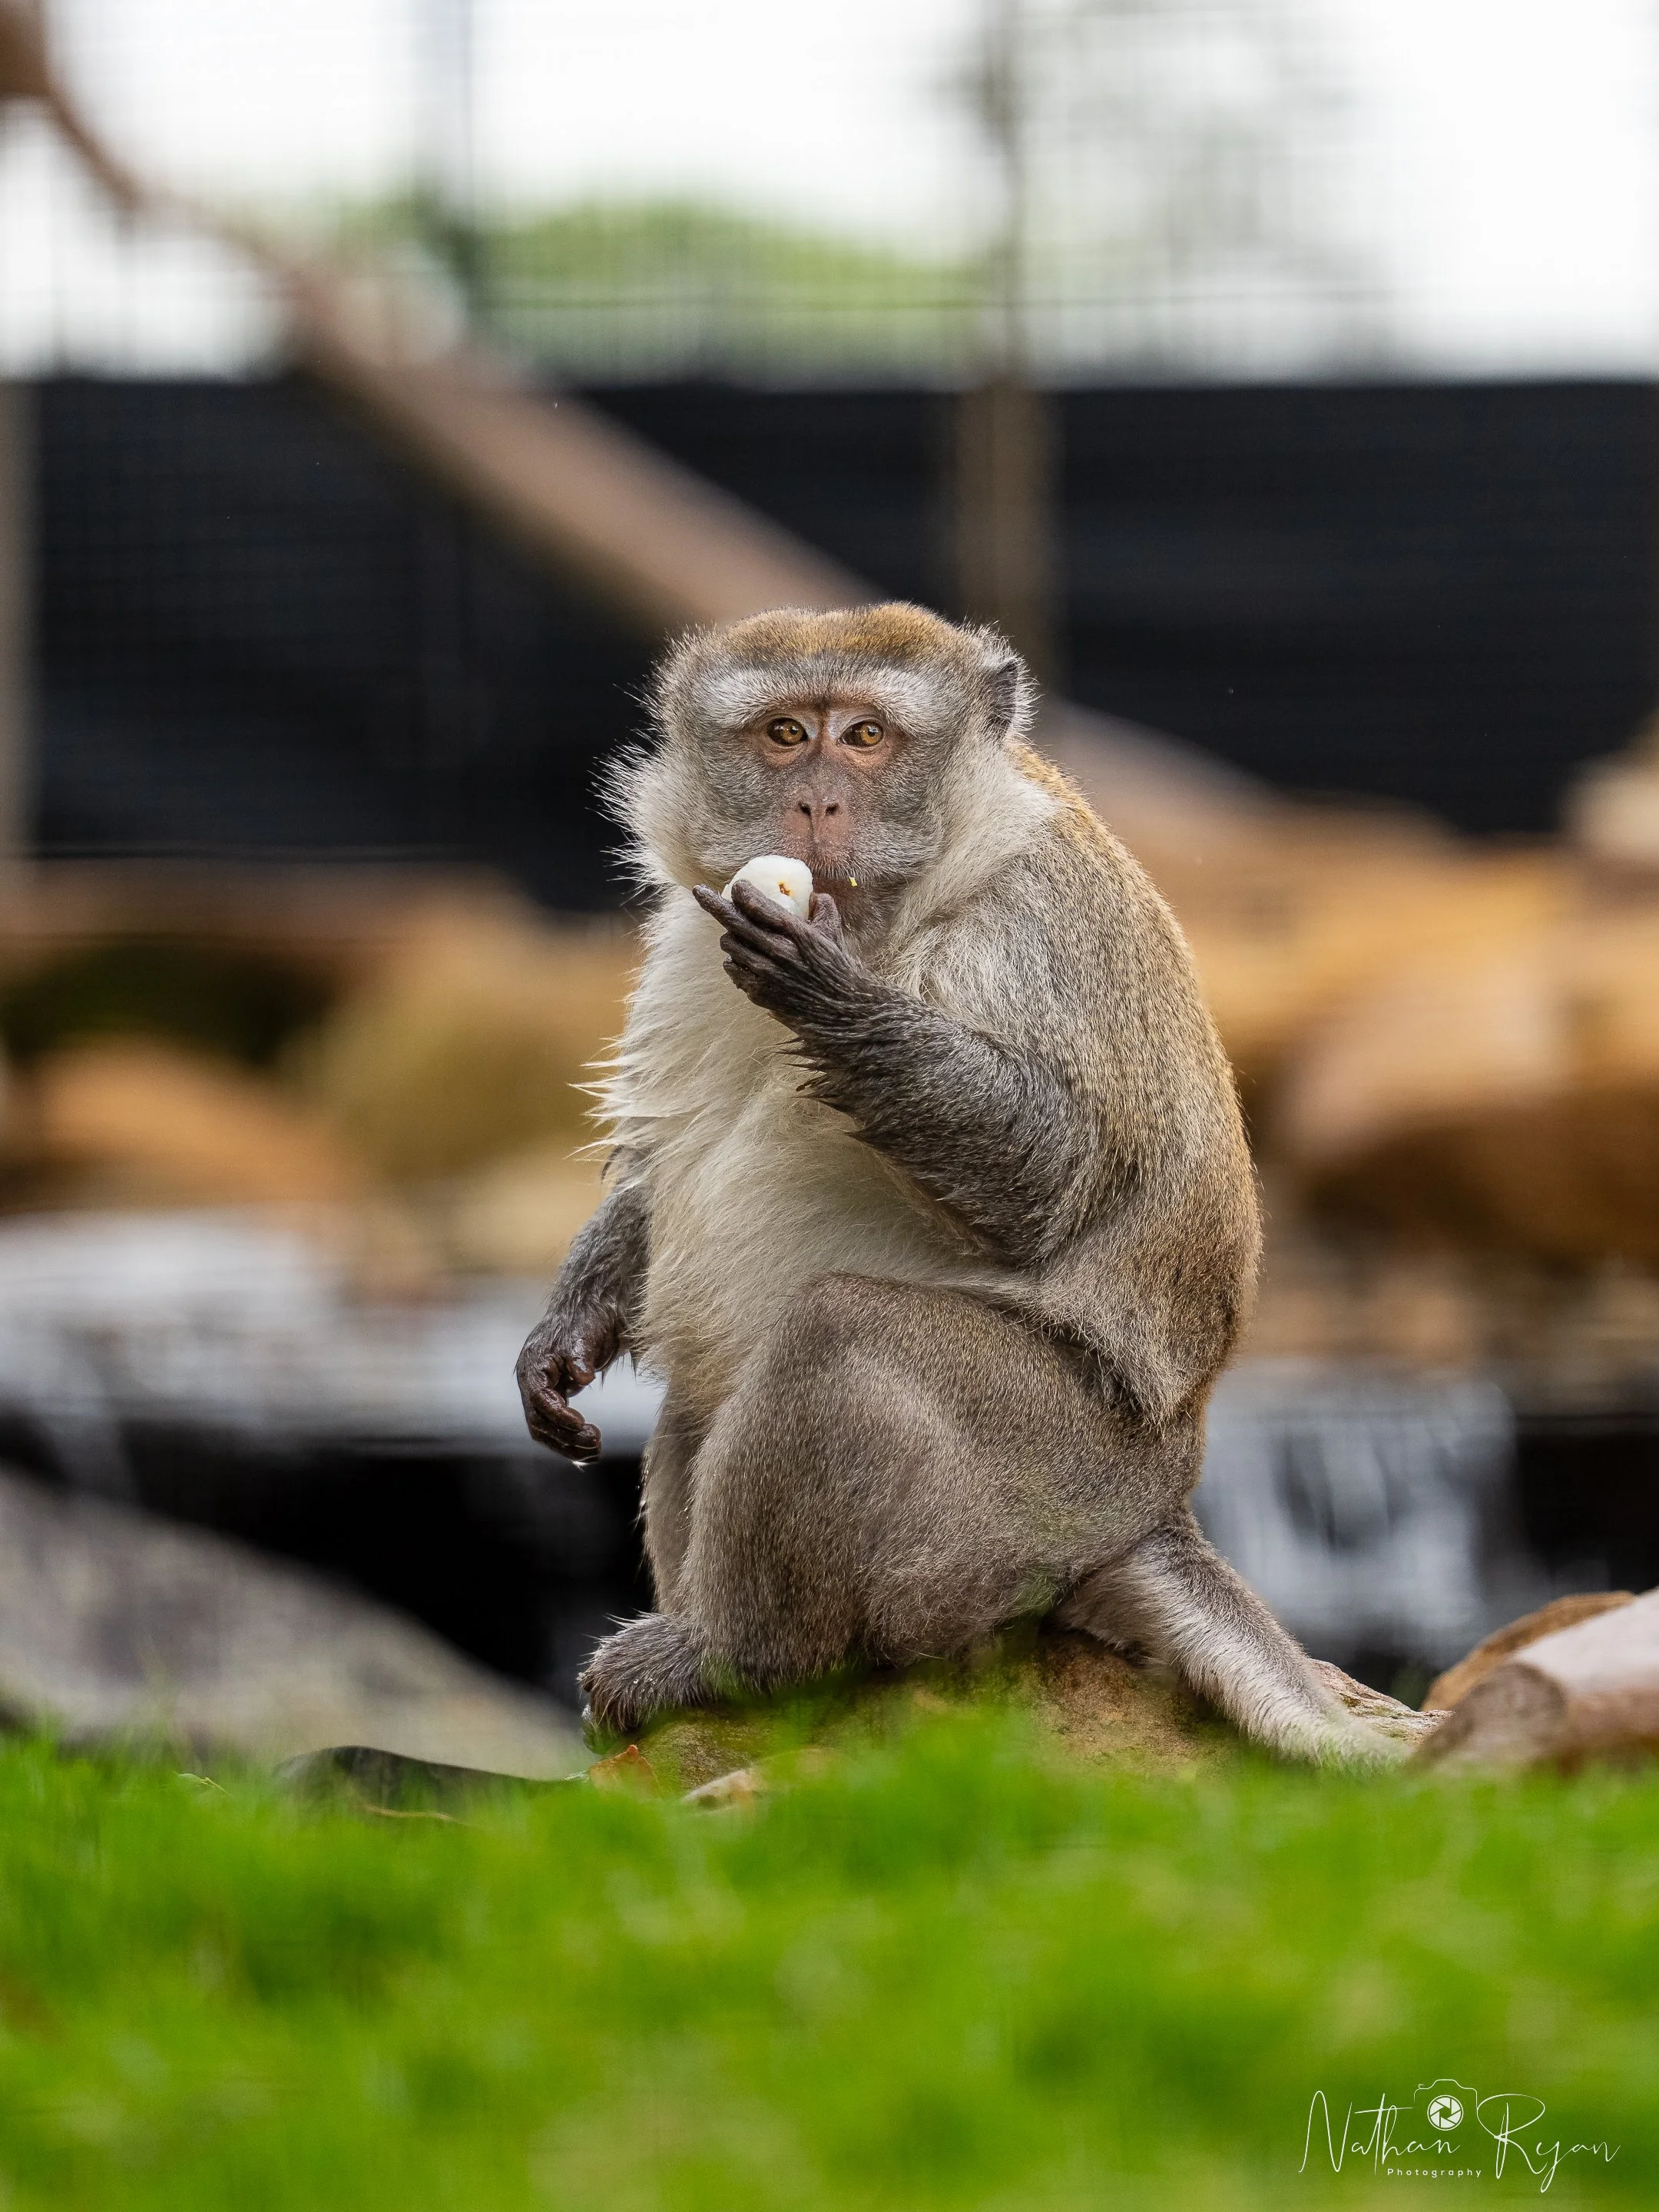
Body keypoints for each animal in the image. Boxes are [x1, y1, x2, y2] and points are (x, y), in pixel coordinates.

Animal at [517, 602, 1394, 1765]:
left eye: (866, 738)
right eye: (786, 735)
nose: (817, 801)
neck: (899, 908)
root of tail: (1158, 1502)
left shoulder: (1024, 932)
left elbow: (1055, 1175)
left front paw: (835, 1002)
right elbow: (660, 1166)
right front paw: (568, 1329)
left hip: (1044, 1482)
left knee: (838, 1334)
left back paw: (739, 1661)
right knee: (708, 1389)